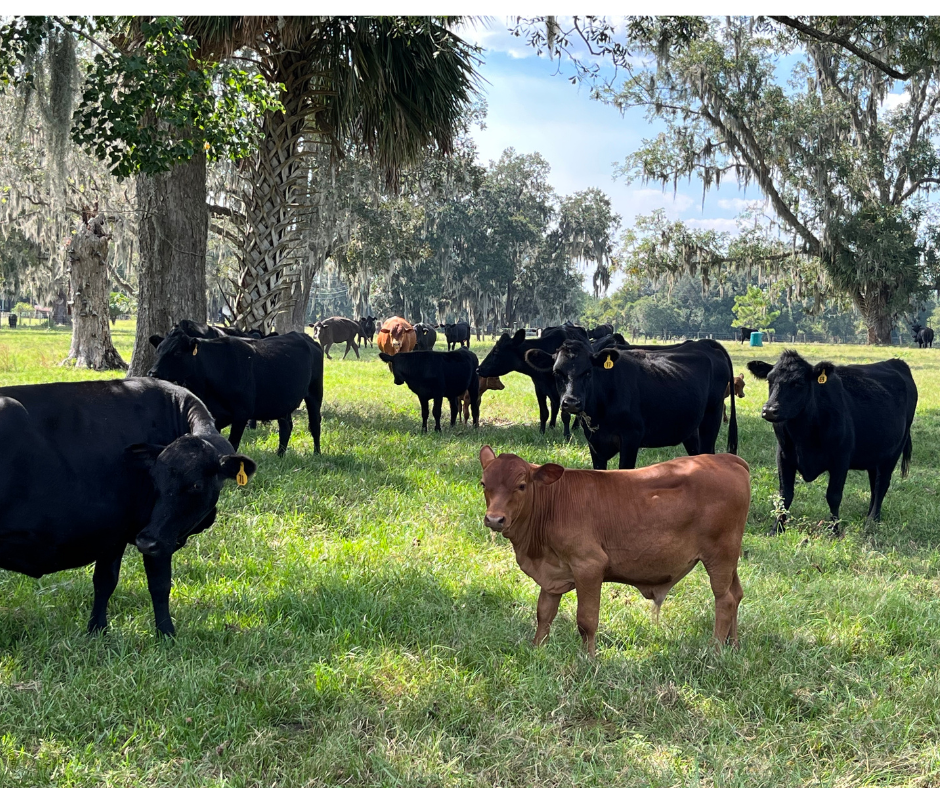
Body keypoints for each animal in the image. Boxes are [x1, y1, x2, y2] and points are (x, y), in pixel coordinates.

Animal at [0, 376, 258, 636]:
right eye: (155, 479)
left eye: (196, 485)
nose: (145, 540)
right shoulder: (148, 537)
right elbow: (158, 585)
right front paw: (167, 633)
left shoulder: (113, 534)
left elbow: (104, 582)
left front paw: (97, 630)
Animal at [478, 446, 748, 656]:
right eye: (483, 484)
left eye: (522, 485)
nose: (494, 519)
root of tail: (726, 458)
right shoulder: (552, 572)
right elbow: (544, 613)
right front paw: (537, 650)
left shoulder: (589, 565)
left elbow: (586, 620)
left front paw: (588, 660)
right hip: (730, 559)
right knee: (736, 594)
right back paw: (733, 647)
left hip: (720, 555)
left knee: (724, 599)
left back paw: (715, 651)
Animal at [524, 338, 740, 468]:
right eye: (556, 372)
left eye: (588, 372)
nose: (571, 403)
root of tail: (702, 343)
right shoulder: (595, 443)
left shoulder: (631, 437)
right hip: (690, 428)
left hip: (712, 416)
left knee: (708, 453)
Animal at [744, 350, 916, 536]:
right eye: (769, 380)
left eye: (798, 383)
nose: (769, 410)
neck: (803, 435)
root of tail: (896, 362)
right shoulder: (783, 456)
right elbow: (785, 495)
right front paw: (777, 528)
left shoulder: (840, 459)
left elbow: (833, 496)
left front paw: (834, 529)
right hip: (875, 454)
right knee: (874, 484)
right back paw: (871, 516)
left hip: (893, 452)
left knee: (881, 484)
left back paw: (872, 520)